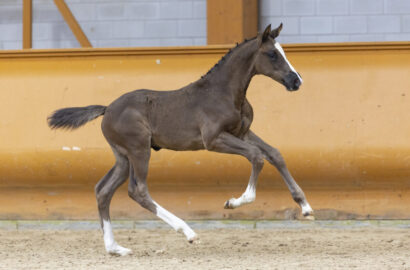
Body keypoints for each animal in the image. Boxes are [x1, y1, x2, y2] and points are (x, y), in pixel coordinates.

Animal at [49, 23, 316, 255]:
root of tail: (107, 109)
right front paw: (234, 202)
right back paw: (188, 232)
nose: (296, 81)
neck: (224, 92)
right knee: (138, 191)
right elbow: (256, 156)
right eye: (272, 54)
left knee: (103, 190)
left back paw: (115, 248)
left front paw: (305, 207)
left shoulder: (242, 132)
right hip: (139, 150)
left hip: (123, 157)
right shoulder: (214, 140)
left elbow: (274, 154)